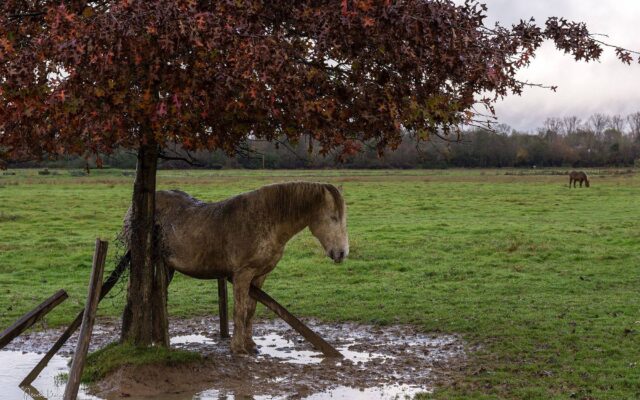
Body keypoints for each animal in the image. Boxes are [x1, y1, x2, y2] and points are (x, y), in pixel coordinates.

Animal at [122, 181, 348, 354]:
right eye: (333, 217)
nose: (342, 253)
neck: (266, 219)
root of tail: (137, 208)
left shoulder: (259, 276)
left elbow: (250, 310)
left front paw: (250, 344)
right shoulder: (242, 274)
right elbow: (239, 310)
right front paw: (238, 348)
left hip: (167, 267)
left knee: (154, 293)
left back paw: (154, 339)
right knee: (134, 293)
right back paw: (129, 337)